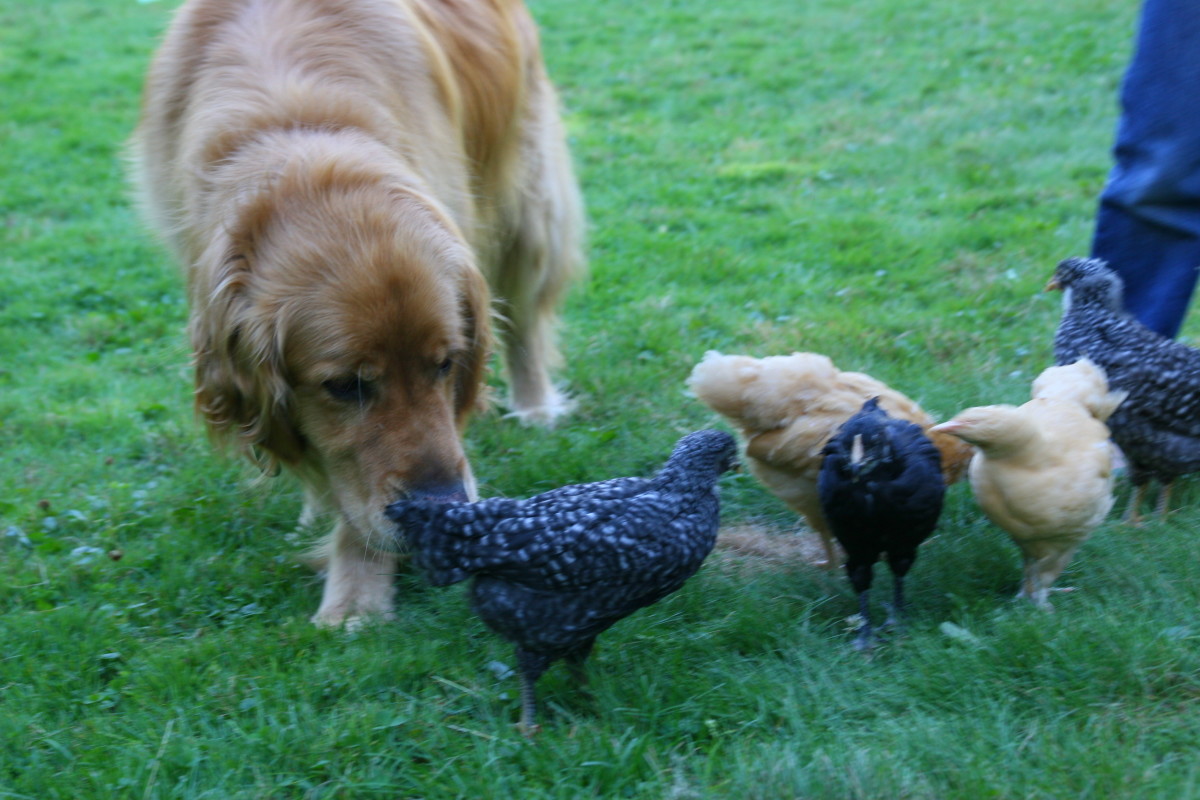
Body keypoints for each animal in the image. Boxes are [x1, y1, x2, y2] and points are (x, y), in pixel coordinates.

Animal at [131, 0, 580, 623]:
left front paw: (355, 594)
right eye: (345, 386)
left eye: (446, 364)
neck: (301, 127)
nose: (443, 509)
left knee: (524, 315)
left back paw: (535, 404)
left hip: (524, 189)